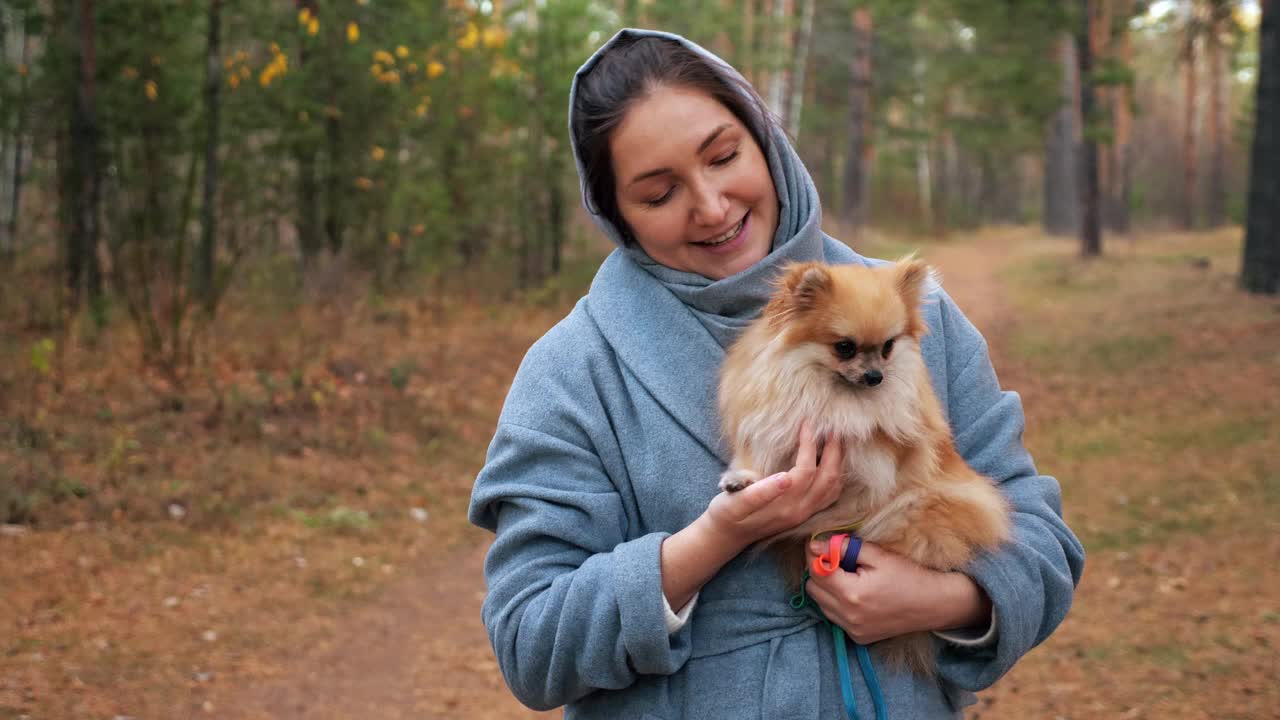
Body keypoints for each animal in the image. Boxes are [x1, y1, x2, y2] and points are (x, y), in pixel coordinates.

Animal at [721, 256, 1008, 671]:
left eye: (887, 347)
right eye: (844, 348)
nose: (875, 377)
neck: (831, 393)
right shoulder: (780, 428)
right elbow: (765, 458)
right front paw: (742, 480)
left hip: (926, 505)